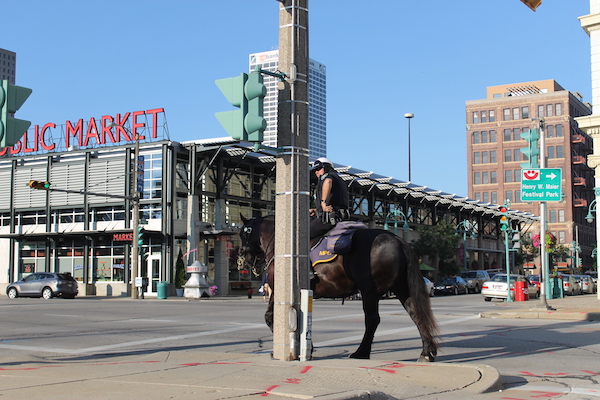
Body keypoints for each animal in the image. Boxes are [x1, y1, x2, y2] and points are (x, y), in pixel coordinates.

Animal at [237, 216, 438, 362]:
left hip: (370, 291)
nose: (242, 259)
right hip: (402, 288)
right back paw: (426, 352)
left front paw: (295, 348)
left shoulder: (278, 289)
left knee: (372, 320)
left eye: (242, 234)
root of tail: (398, 239)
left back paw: (361, 352)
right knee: (416, 314)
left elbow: (270, 317)